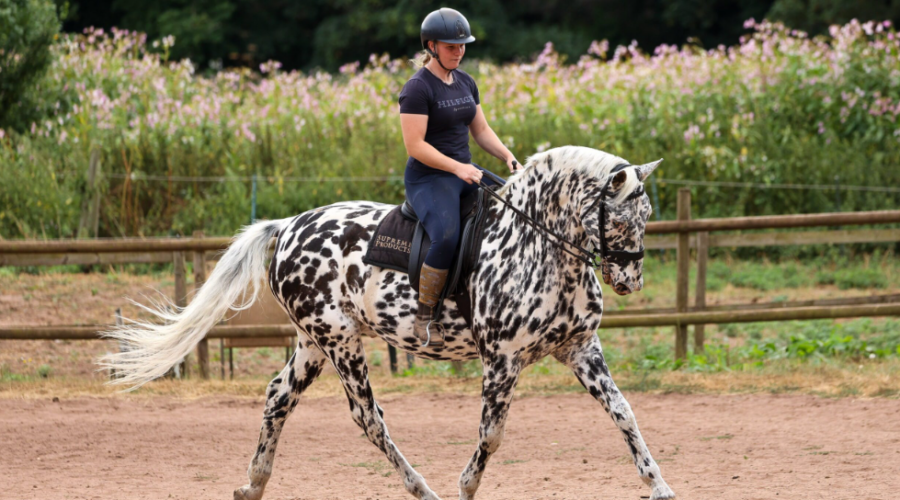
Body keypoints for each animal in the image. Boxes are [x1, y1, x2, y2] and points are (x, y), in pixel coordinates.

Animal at [100, 145, 676, 500]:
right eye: (622, 216)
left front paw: (660, 485)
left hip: (313, 343)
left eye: (648, 216)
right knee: (368, 418)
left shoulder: (582, 350)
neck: (537, 247)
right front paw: (465, 487)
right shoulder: (501, 362)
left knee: (277, 396)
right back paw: (424, 489)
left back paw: (254, 484)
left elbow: (624, 413)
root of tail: (287, 227)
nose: (631, 280)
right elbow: (491, 436)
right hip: (341, 343)